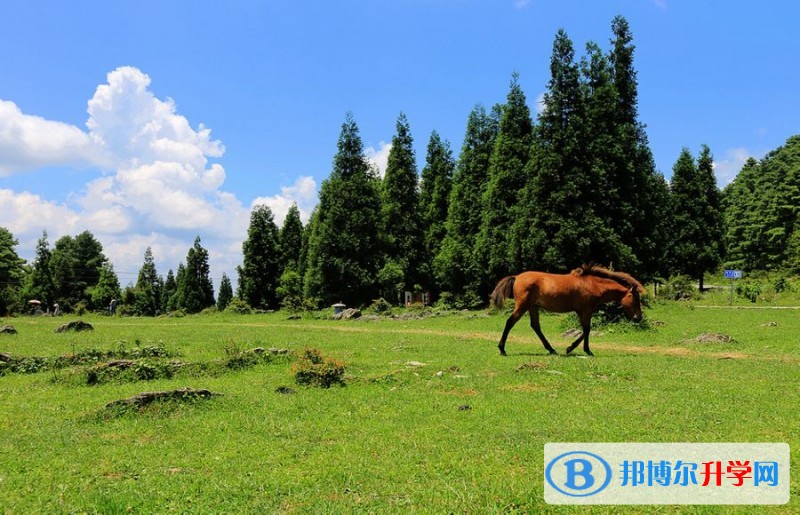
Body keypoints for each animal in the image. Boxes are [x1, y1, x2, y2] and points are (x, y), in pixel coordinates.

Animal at [488, 264, 644, 356]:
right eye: (634, 298)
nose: (638, 318)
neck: (593, 284)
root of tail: (516, 277)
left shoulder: (581, 312)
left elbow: (585, 330)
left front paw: (571, 348)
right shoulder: (586, 310)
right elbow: (587, 329)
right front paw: (584, 350)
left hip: (533, 307)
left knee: (535, 326)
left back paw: (551, 349)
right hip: (523, 306)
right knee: (510, 322)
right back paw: (502, 349)